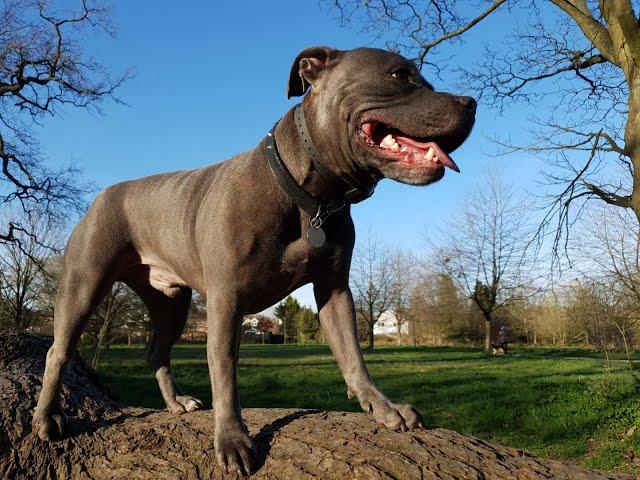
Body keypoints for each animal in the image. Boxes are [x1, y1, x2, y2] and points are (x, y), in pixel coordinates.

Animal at [35, 47, 476, 474]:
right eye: (400, 75)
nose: (470, 103)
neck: (310, 195)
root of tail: (102, 195)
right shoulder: (226, 300)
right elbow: (225, 372)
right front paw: (232, 439)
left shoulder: (334, 289)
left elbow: (353, 355)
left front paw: (383, 408)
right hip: (84, 284)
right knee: (58, 351)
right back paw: (46, 419)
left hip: (172, 304)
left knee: (156, 353)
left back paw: (176, 403)